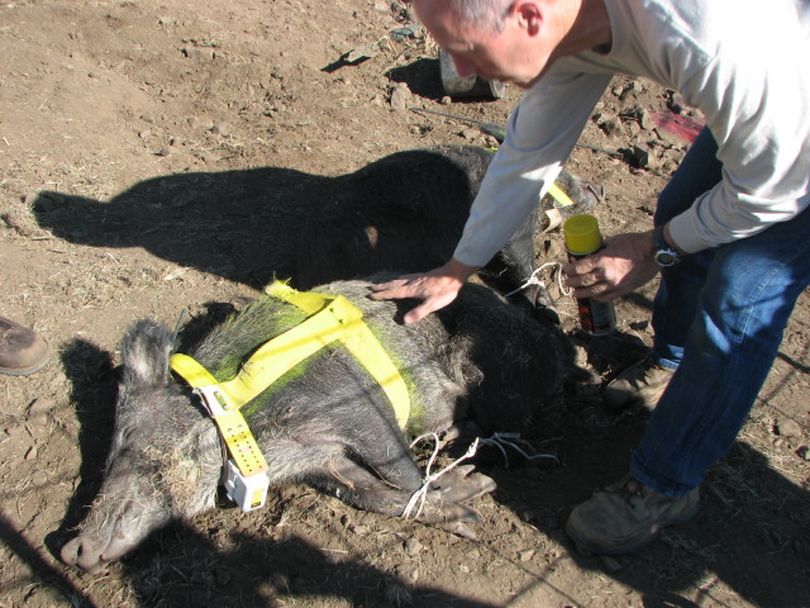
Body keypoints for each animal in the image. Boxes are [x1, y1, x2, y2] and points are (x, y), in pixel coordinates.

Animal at [60, 278, 576, 572]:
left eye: (129, 446)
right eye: (109, 452)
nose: (71, 552)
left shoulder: (357, 404)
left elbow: (399, 470)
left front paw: (475, 497)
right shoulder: (320, 460)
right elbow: (370, 495)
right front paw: (466, 514)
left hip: (499, 377)